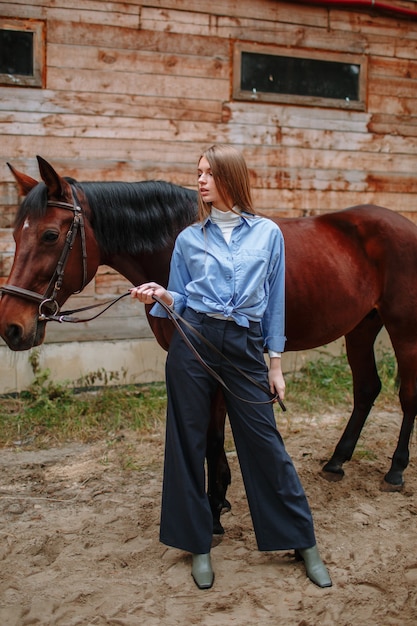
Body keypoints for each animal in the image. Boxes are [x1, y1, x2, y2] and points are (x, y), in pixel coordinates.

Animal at [0, 155, 416, 528]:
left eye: (50, 235)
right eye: (17, 235)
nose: (11, 327)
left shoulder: (212, 360)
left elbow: (214, 436)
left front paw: (215, 509)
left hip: (403, 329)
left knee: (406, 395)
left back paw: (395, 471)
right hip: (361, 327)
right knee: (366, 389)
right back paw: (336, 462)